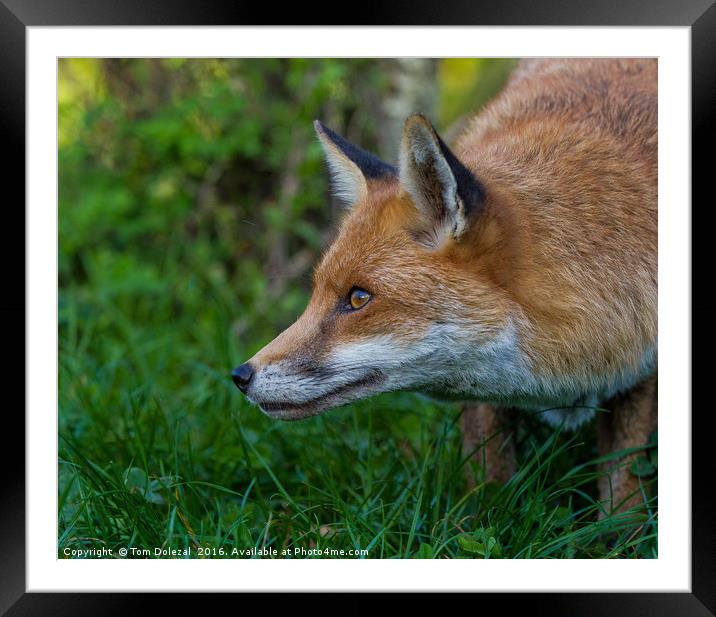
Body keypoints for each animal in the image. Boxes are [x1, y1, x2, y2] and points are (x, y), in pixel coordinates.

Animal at [232, 59, 656, 510]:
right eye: (315, 293)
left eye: (358, 298)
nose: (240, 376)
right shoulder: (484, 399)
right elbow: (489, 487)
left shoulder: (641, 374)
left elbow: (624, 497)